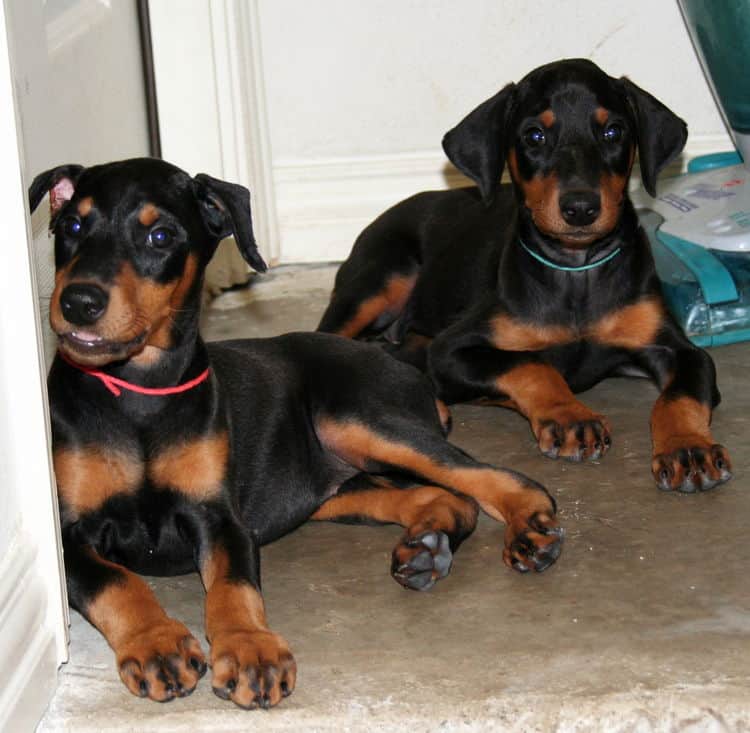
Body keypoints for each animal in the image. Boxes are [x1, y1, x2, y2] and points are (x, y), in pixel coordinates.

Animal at [32, 157, 568, 708]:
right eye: (72, 226)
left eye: (160, 235)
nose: (78, 302)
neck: (136, 391)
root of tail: (401, 364)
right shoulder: (68, 535)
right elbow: (115, 581)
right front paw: (157, 644)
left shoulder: (220, 516)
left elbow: (233, 585)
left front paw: (250, 650)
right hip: (327, 485)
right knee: (442, 496)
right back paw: (426, 547)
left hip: (361, 423)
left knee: (497, 478)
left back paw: (526, 526)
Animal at [318, 57, 736, 492]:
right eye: (534, 135)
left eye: (613, 131)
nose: (581, 208)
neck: (575, 268)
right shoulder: (452, 349)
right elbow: (531, 364)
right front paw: (570, 416)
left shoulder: (678, 349)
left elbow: (680, 395)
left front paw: (687, 448)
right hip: (379, 281)